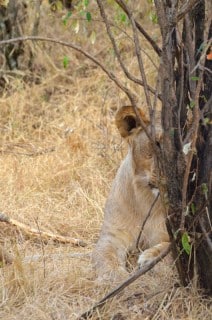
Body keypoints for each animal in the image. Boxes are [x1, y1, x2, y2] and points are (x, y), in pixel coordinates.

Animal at [92, 105, 170, 280]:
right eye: (156, 143)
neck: (147, 199)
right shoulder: (113, 235)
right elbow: (106, 256)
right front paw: (115, 277)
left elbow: (169, 246)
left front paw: (150, 257)